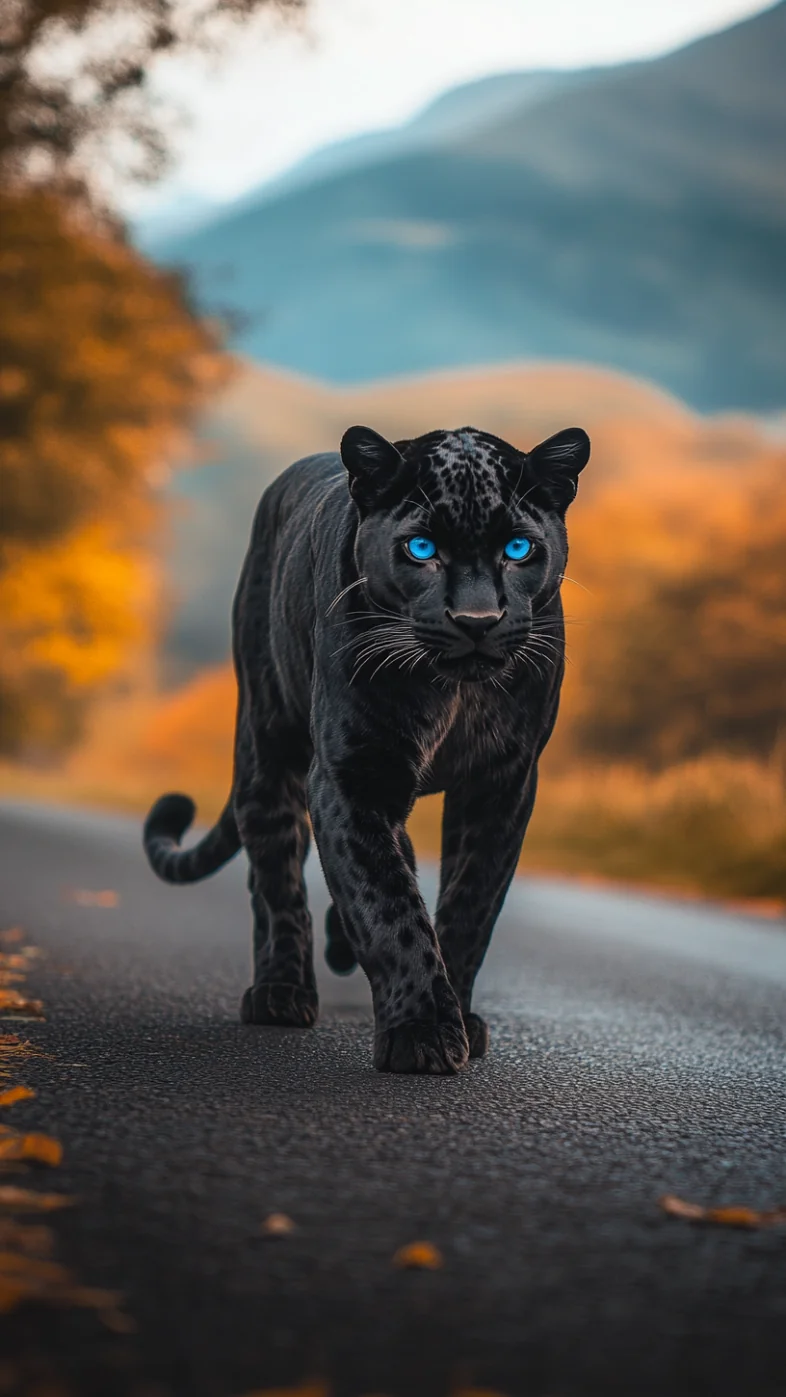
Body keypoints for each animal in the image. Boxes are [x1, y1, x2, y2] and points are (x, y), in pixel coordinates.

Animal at [142, 420, 590, 1073]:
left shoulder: (502, 782)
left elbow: (469, 904)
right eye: (421, 549)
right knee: (274, 876)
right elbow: (389, 907)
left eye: (517, 549)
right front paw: (423, 1034)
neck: (453, 691)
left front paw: (458, 1019)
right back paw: (281, 991)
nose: (476, 620)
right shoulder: (351, 776)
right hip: (267, 743)